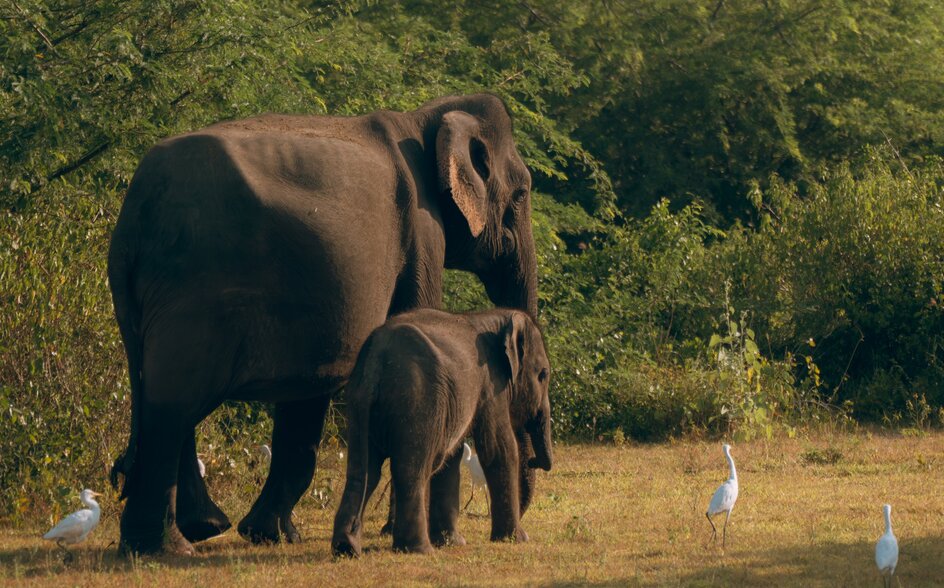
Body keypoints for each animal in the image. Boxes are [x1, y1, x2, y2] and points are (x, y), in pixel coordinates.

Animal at [331, 308, 553, 556]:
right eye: (543, 375)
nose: (534, 460)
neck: (496, 317)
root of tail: (375, 358)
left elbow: (453, 456)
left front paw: (452, 542)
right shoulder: (490, 385)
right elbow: (498, 449)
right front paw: (517, 539)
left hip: (359, 401)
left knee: (364, 470)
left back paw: (346, 548)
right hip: (417, 401)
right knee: (411, 469)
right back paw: (419, 549)